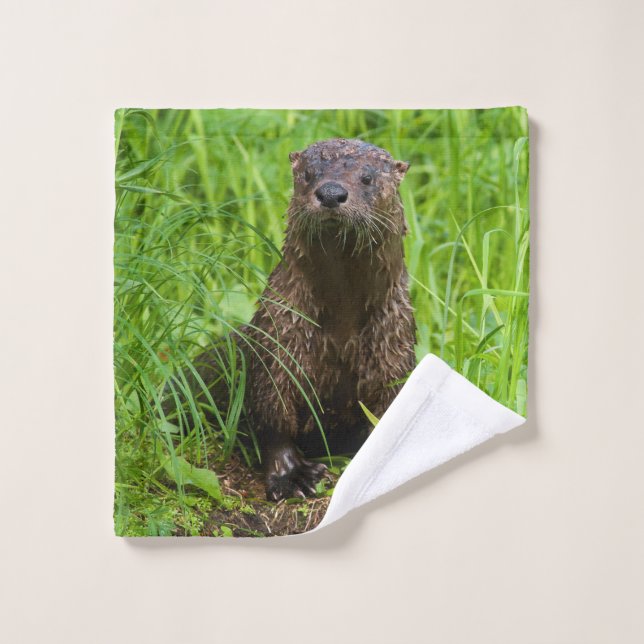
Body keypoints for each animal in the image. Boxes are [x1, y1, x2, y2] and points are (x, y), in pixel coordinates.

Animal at [239, 138, 417, 501]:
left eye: (366, 178)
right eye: (309, 174)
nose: (331, 192)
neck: (341, 329)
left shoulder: (394, 351)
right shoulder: (278, 341)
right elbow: (272, 417)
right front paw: (292, 475)